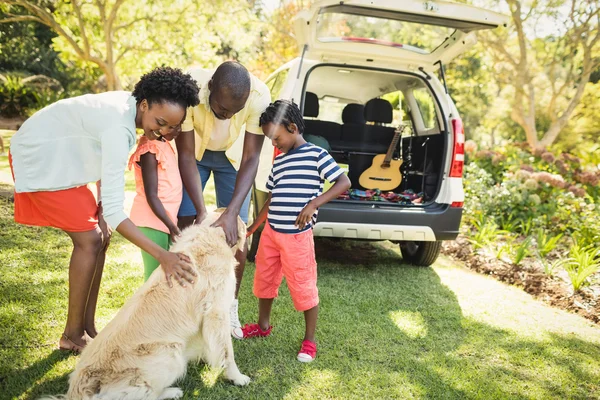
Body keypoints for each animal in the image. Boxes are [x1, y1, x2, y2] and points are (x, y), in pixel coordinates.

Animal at [45, 211, 250, 398]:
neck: (210, 235)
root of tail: (80, 389)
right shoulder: (217, 312)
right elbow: (227, 352)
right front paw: (237, 377)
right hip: (171, 353)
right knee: (149, 394)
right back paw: (172, 391)